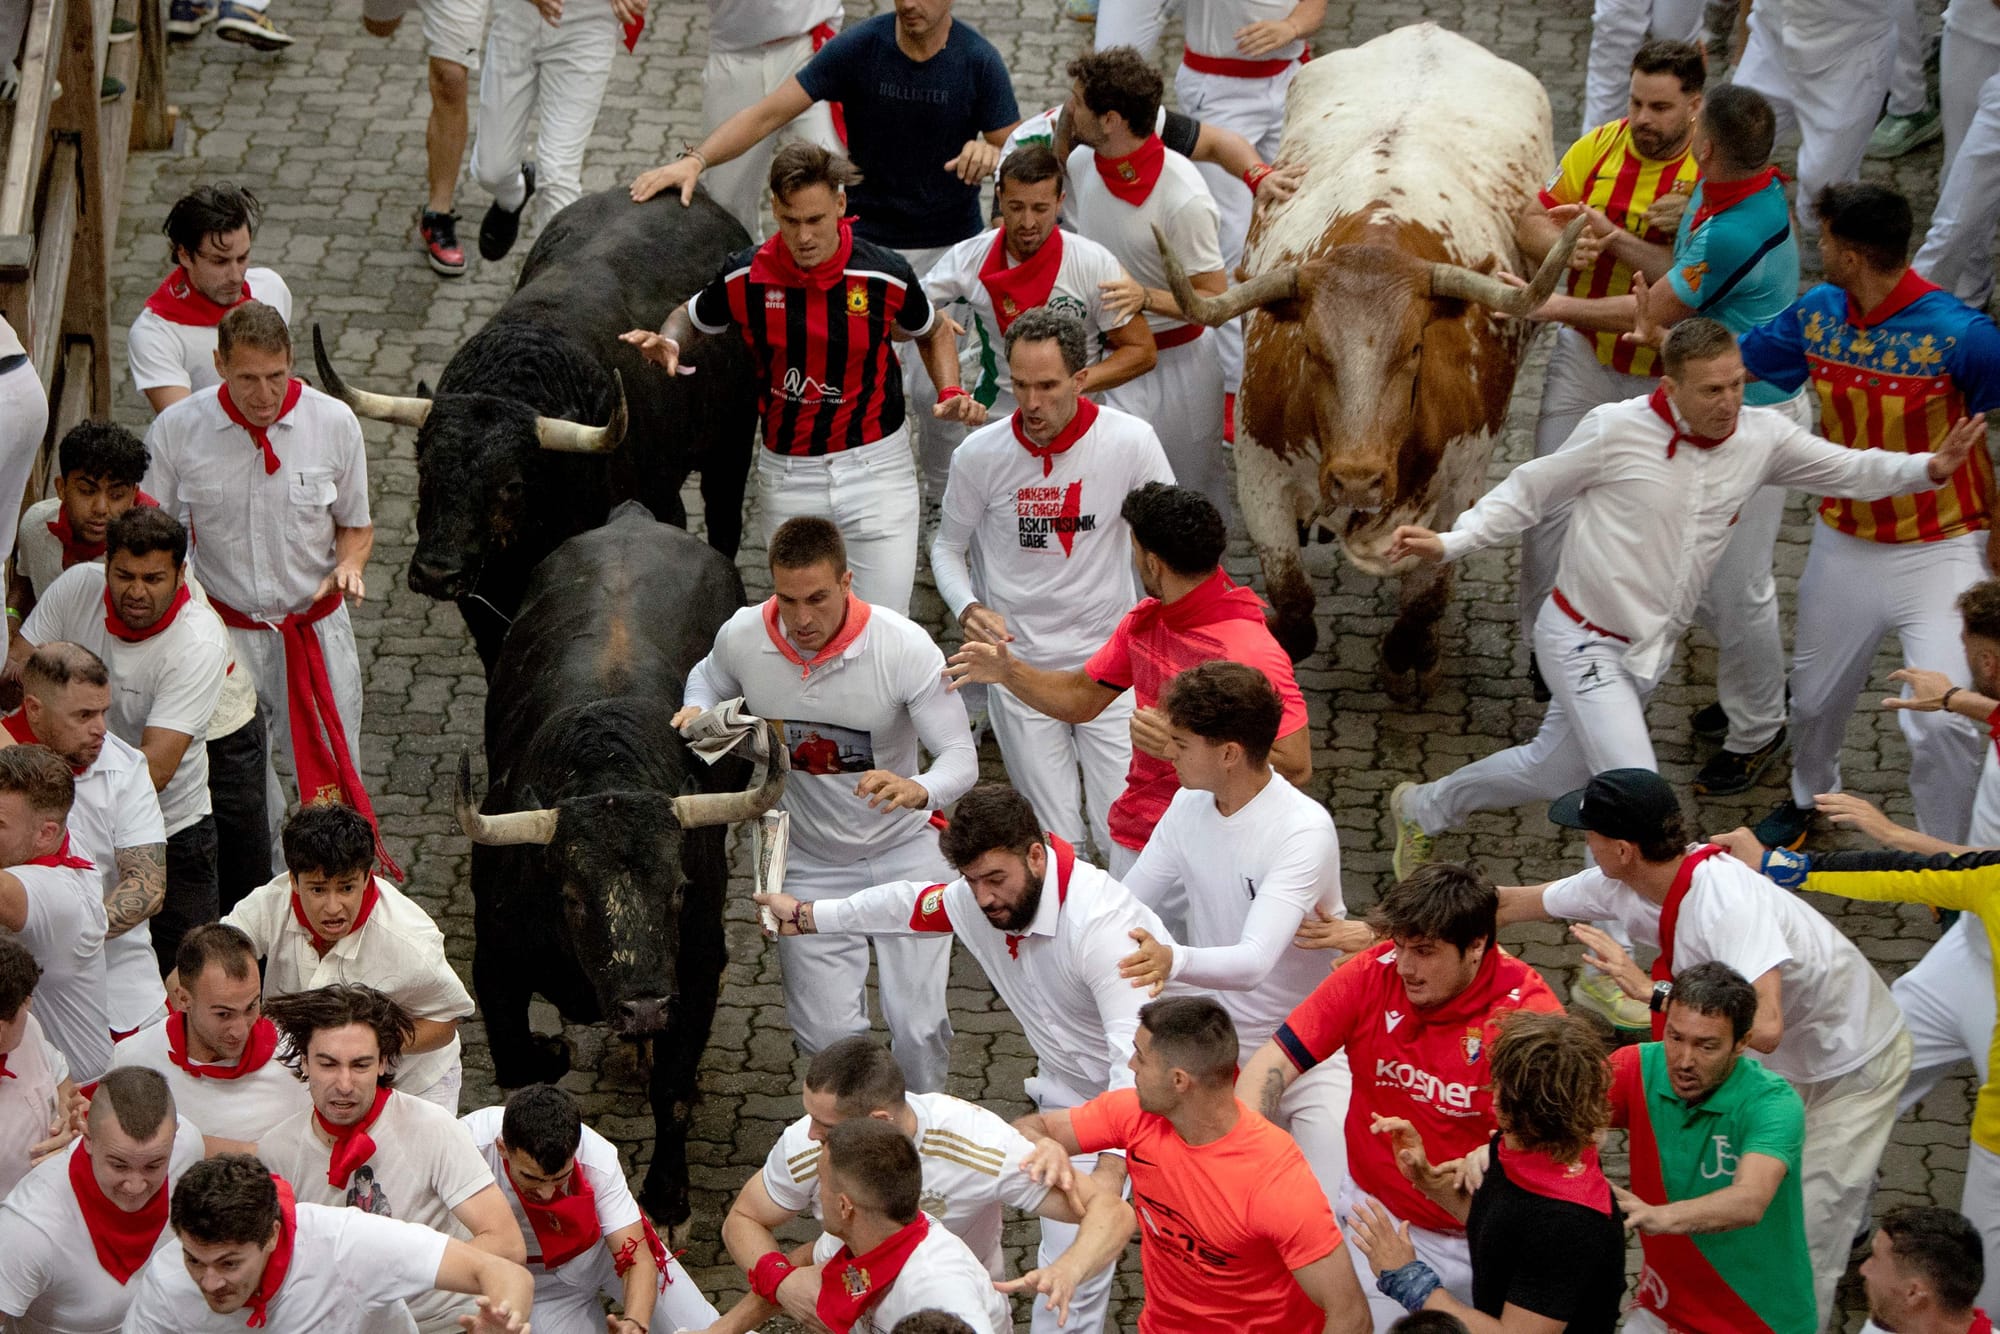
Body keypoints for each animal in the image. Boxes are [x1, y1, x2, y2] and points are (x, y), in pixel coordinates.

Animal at [313, 188, 761, 672]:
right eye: (425, 473)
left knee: (725, 518)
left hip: (733, 445)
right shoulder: (482, 590)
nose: (436, 572)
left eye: (511, 485)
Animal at [453, 501, 784, 1235]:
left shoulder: (698, 967)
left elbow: (673, 1090)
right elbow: (518, 1063)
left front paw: (668, 1200)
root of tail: (632, 518)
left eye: (680, 890)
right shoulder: (494, 965)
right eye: (573, 896)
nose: (643, 1007)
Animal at [1157, 23, 1584, 701]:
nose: (1357, 479)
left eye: (1415, 349)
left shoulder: (1462, 486)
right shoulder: (1259, 475)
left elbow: (1426, 597)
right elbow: (1295, 606)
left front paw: (1410, 657)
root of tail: (1428, 31)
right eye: (1310, 348)